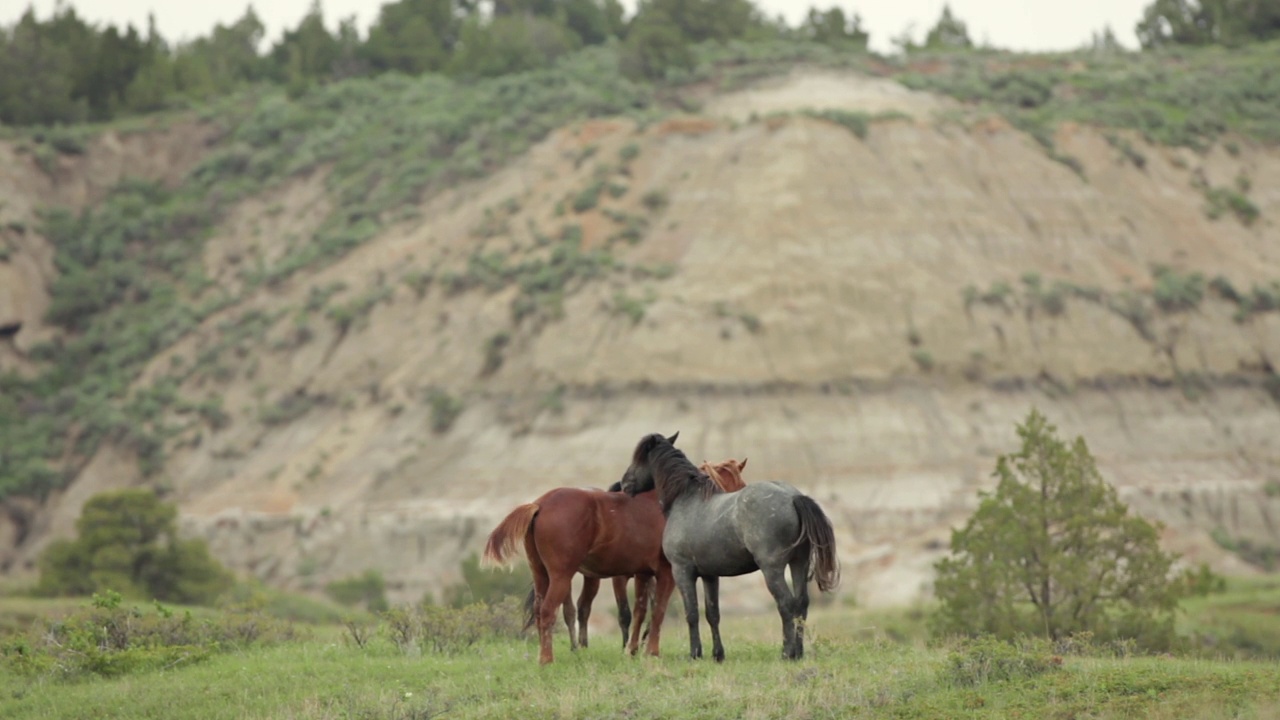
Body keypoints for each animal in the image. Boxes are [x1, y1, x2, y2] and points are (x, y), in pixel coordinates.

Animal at [619, 427, 839, 661]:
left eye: (638, 457)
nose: (624, 484)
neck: (686, 500)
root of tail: (793, 497)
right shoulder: (709, 575)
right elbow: (712, 614)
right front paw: (718, 654)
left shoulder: (682, 571)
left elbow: (692, 613)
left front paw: (695, 653)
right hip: (799, 563)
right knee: (801, 603)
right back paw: (798, 652)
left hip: (772, 569)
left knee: (786, 604)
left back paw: (787, 652)